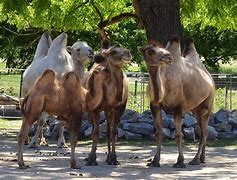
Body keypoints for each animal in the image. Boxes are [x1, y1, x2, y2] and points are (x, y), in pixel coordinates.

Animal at [139, 37, 215, 168]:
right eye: (151, 51)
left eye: (162, 49)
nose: (168, 57)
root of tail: (210, 78)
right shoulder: (154, 106)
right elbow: (159, 133)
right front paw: (155, 161)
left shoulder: (178, 107)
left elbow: (179, 135)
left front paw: (180, 162)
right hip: (196, 109)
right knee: (202, 130)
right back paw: (202, 158)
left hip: (208, 103)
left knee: (204, 131)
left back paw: (195, 160)